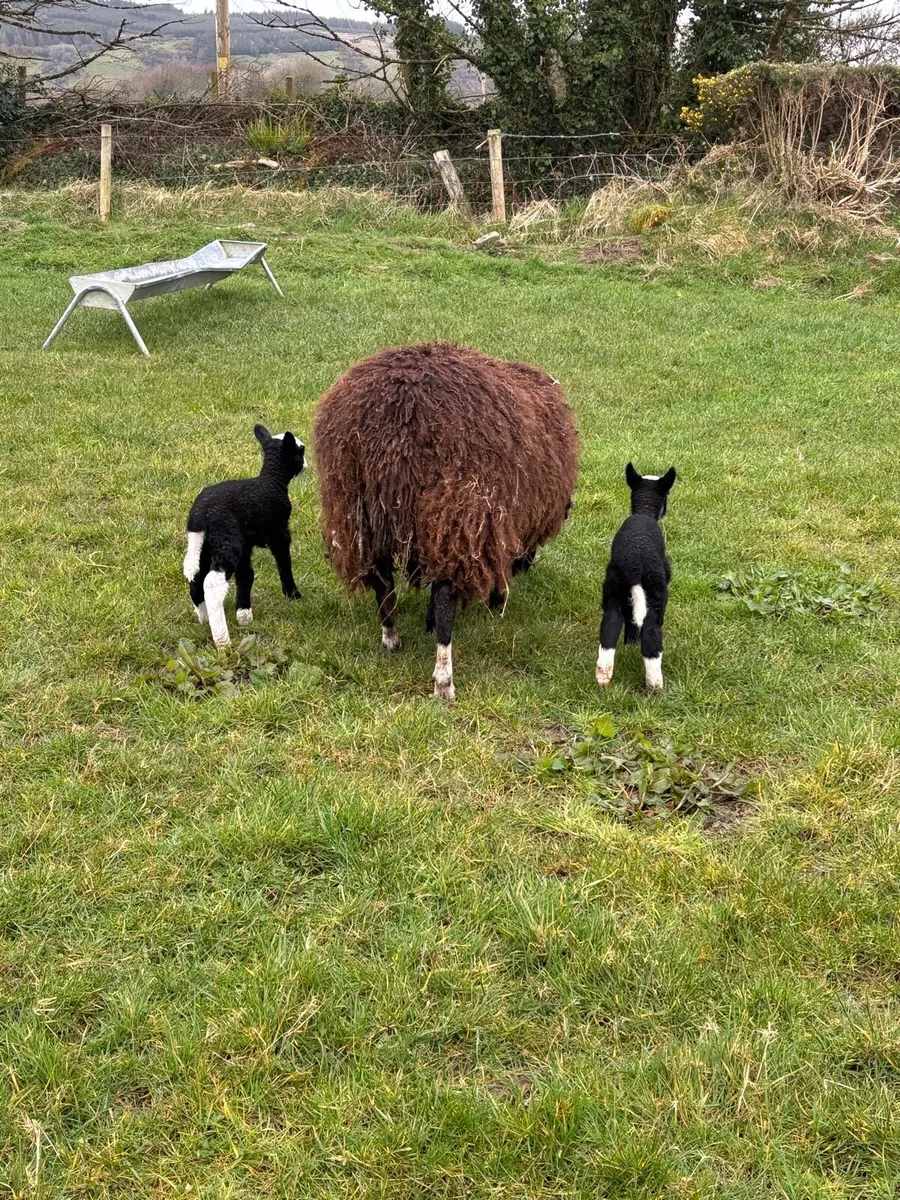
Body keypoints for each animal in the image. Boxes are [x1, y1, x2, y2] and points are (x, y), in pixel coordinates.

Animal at [183, 424, 305, 647]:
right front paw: (292, 594)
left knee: (196, 578)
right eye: (301, 451)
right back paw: (222, 640)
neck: (272, 480)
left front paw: (244, 613)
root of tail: (199, 514)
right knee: (212, 583)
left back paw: (205, 618)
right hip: (226, 540)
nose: (306, 464)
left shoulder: (246, 543)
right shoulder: (279, 531)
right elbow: (284, 562)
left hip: (205, 544)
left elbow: (246, 574)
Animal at [313, 341, 579, 700]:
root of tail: (388, 424)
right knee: (444, 598)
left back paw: (391, 637)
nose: (524, 567)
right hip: (454, 507)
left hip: (360, 511)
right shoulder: (489, 527)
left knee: (382, 580)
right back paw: (444, 679)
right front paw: (496, 602)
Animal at [596, 463, 676, 692]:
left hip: (613, 589)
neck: (644, 511)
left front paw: (630, 643)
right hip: (656, 593)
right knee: (651, 637)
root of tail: (636, 563)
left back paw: (603, 678)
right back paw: (655, 686)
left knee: (610, 629)